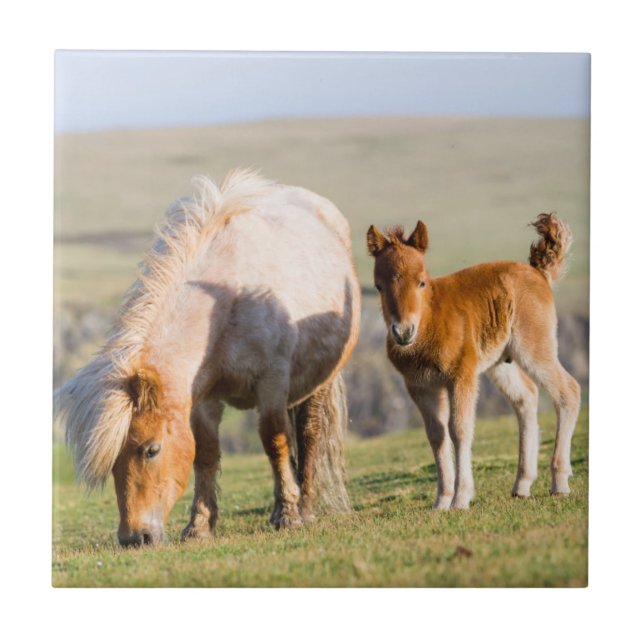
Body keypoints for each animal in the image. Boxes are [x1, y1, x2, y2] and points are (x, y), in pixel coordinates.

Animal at [55, 169, 361, 546]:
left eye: (151, 450)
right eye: (113, 462)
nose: (134, 538)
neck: (225, 301)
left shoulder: (271, 383)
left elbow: (275, 442)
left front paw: (288, 515)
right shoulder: (202, 400)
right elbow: (205, 455)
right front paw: (199, 527)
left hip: (319, 382)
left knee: (309, 435)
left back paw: (304, 508)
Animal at [366, 213, 581, 510]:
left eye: (422, 282)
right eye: (379, 286)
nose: (403, 332)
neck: (431, 321)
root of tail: (538, 273)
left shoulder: (461, 375)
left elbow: (459, 430)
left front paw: (461, 498)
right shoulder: (420, 386)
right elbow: (437, 436)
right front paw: (441, 501)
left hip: (534, 347)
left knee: (568, 391)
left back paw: (559, 482)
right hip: (501, 363)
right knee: (526, 397)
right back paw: (522, 484)